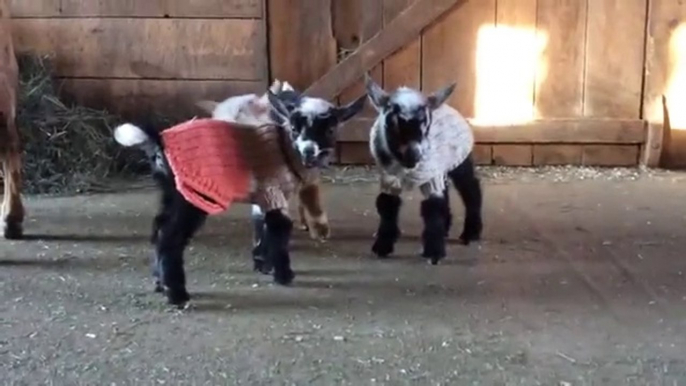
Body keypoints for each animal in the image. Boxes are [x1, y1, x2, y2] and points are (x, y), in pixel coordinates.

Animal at [366, 73, 484, 266]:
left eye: (427, 125)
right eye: (390, 125)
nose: (413, 156)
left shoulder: (430, 174)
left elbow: (433, 208)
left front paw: (434, 252)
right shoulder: (389, 179)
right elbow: (387, 205)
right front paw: (383, 245)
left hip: (460, 160)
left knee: (471, 189)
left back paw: (471, 232)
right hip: (439, 167)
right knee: (446, 193)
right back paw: (447, 227)